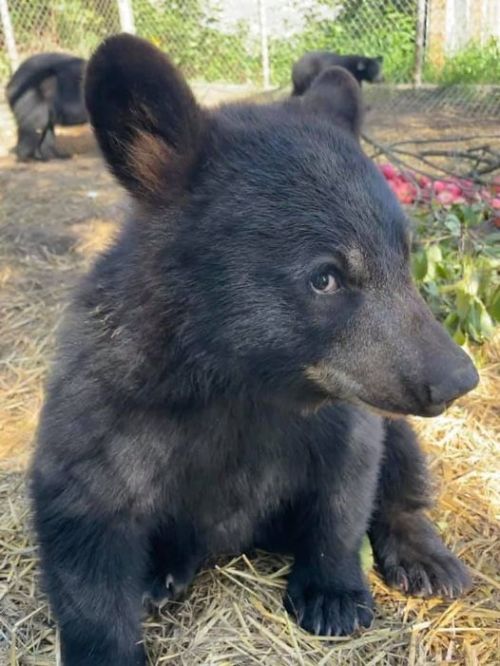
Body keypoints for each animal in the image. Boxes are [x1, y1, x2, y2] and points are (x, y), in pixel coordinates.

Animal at [30, 36, 476, 664]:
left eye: (406, 255)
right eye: (325, 277)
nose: (459, 377)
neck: (239, 382)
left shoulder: (342, 412)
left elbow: (346, 486)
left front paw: (333, 594)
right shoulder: (107, 404)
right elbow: (84, 533)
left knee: (403, 468)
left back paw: (426, 558)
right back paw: (162, 572)